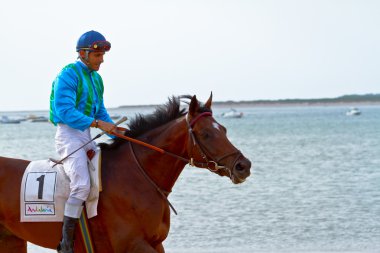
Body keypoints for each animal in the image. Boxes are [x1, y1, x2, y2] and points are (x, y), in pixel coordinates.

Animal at [0, 93, 251, 253]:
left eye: (224, 129)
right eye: (206, 134)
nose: (243, 165)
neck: (138, 177)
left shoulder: (156, 243)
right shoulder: (132, 244)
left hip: (12, 241)